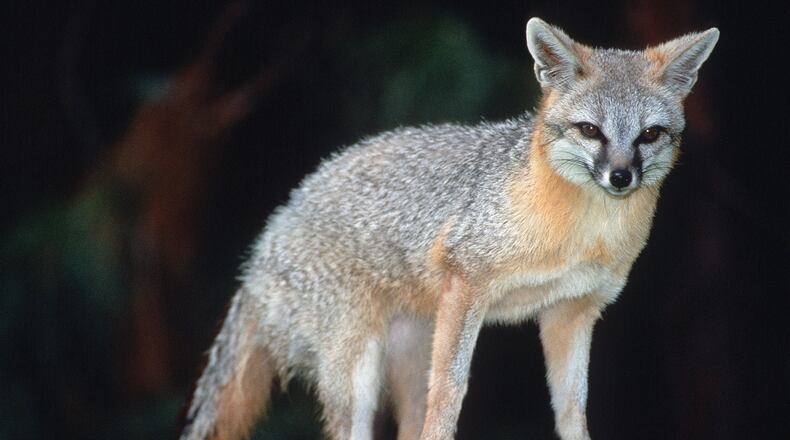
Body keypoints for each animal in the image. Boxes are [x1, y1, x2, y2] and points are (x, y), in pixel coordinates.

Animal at [180, 17, 719, 440]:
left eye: (649, 135)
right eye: (590, 131)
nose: (621, 177)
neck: (583, 233)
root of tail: (263, 244)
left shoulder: (571, 311)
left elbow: (571, 405)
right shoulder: (467, 282)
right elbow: (451, 389)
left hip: (411, 350)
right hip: (359, 371)